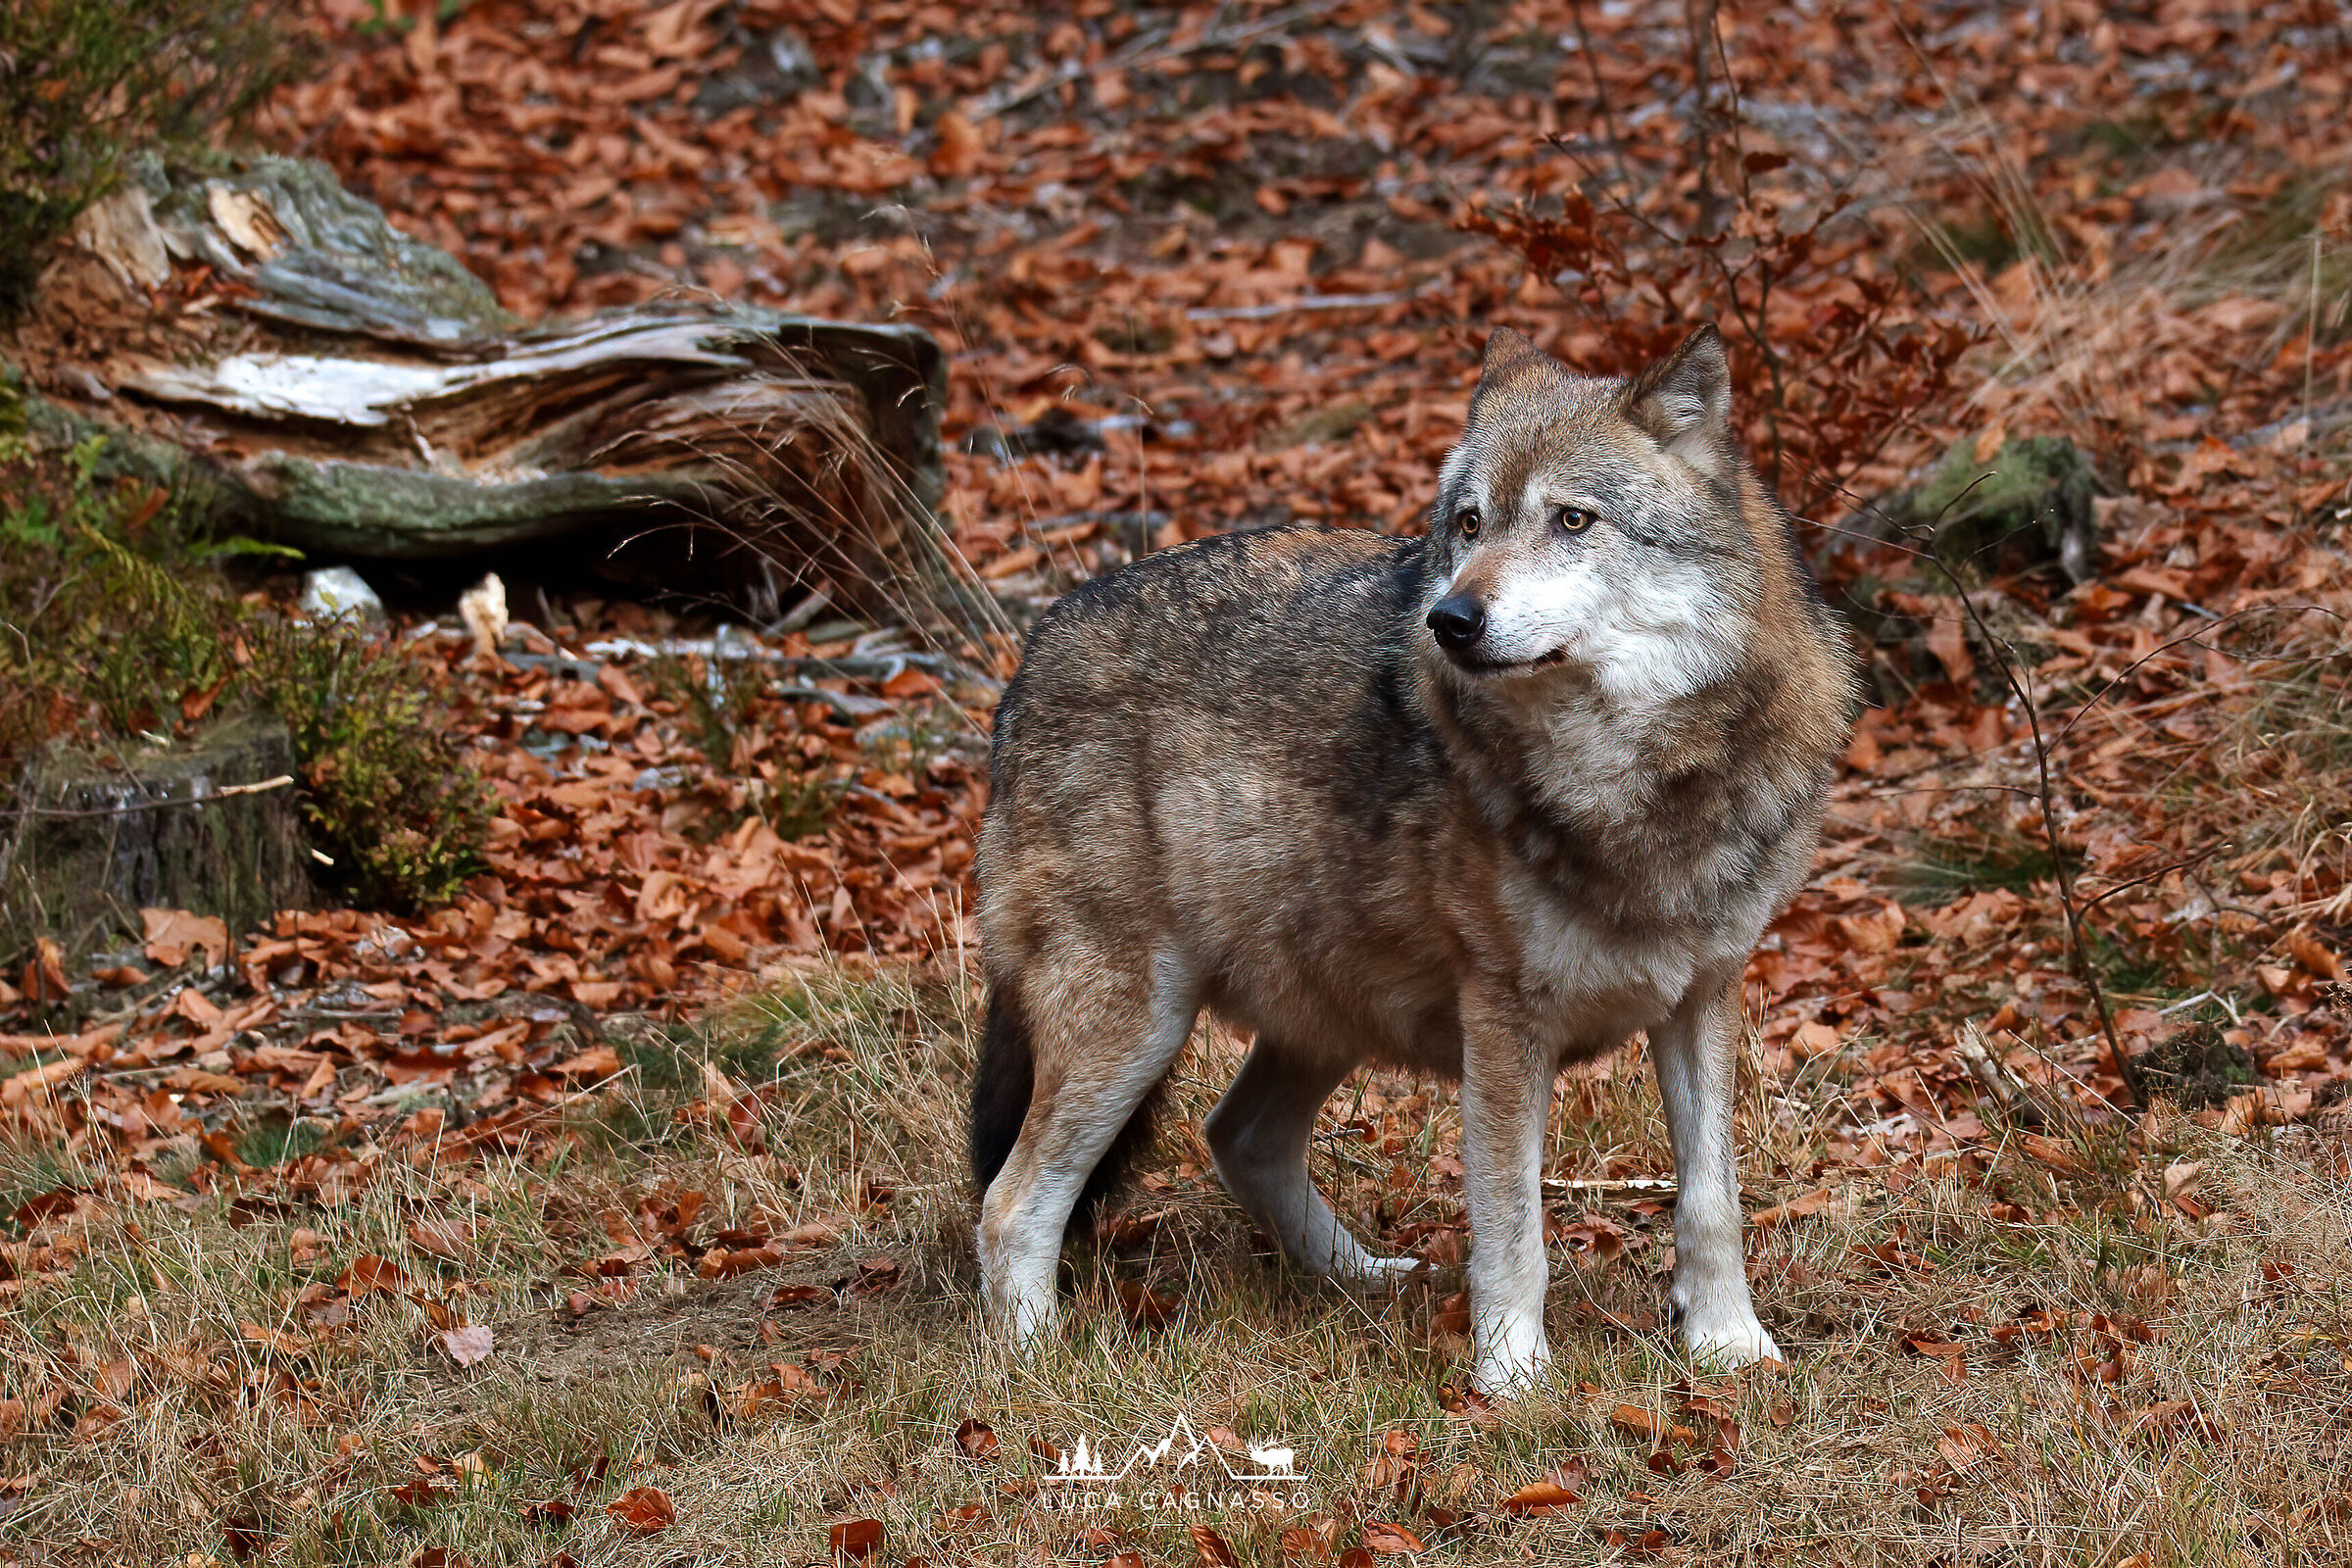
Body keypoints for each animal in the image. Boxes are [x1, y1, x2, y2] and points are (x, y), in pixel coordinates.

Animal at [970, 324, 1856, 1392]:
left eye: (1572, 520)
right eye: (1470, 524)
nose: (1450, 619)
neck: (1637, 786)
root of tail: (1029, 656)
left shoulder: (1702, 996)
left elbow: (1712, 1201)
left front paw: (1729, 1346)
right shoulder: (1505, 1016)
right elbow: (1514, 1228)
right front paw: (1515, 1380)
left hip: (1319, 1009)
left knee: (1239, 1137)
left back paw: (1357, 1278)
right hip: (1136, 1024)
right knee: (1011, 1203)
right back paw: (1035, 1370)